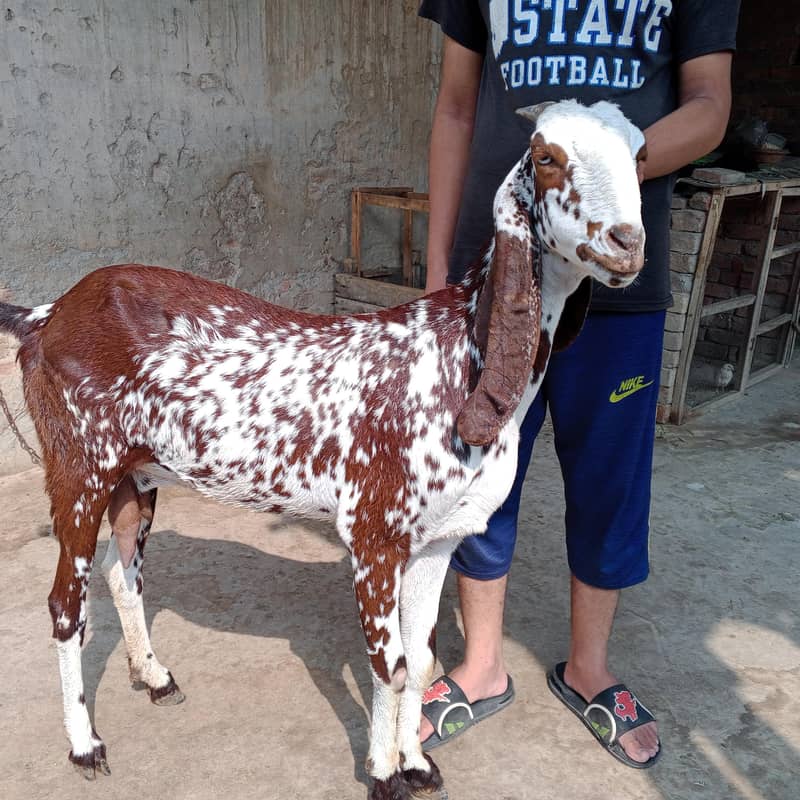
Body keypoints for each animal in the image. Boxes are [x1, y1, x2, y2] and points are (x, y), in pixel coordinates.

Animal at [0, 99, 645, 799]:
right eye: (548, 156)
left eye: (640, 153)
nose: (628, 242)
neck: (456, 358)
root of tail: (45, 315)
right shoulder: (374, 533)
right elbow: (390, 664)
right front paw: (384, 775)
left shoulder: (439, 539)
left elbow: (422, 660)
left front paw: (416, 763)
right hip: (78, 469)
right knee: (65, 604)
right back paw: (85, 744)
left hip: (136, 476)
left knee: (122, 576)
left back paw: (154, 676)